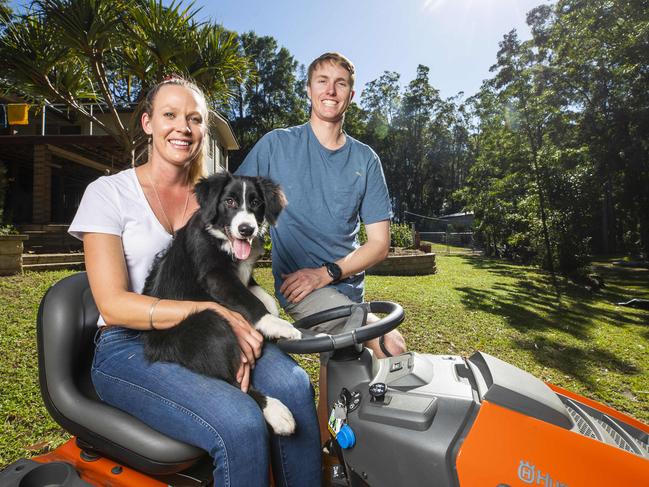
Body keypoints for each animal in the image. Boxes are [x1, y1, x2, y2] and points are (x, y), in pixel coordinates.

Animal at [142, 171, 298, 434]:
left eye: (256, 202)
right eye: (230, 202)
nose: (246, 229)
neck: (220, 239)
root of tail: (154, 343)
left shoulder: (244, 275)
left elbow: (262, 295)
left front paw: (273, 317)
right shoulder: (215, 276)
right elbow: (248, 300)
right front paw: (277, 326)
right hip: (211, 322)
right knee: (235, 384)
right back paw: (276, 412)